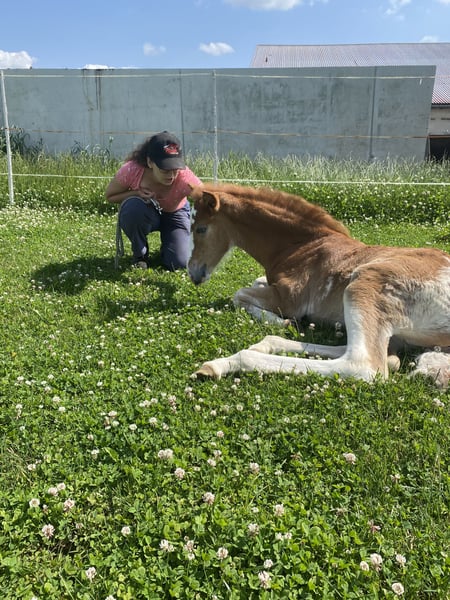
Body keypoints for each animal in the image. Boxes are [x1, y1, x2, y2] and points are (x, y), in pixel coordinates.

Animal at [187, 183, 450, 388]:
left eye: (200, 229)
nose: (193, 272)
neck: (302, 245)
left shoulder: (290, 300)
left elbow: (239, 293)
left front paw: (279, 320)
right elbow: (252, 284)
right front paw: (280, 323)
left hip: (364, 284)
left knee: (362, 365)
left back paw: (222, 364)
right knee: (387, 356)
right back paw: (265, 344)